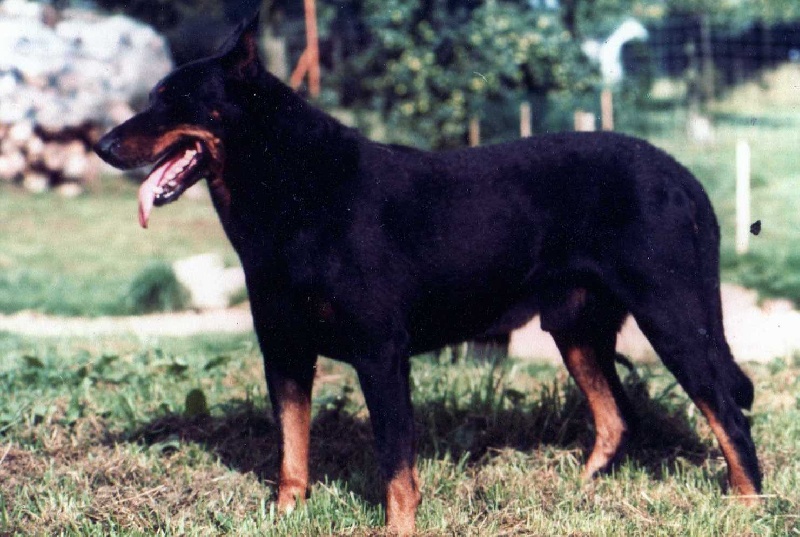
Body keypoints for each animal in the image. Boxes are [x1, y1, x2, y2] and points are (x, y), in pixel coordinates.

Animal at [95, 14, 761, 535]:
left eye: (172, 100)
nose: (102, 145)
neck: (292, 188)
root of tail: (680, 175)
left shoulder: (381, 354)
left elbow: (395, 464)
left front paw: (397, 528)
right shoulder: (284, 351)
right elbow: (291, 453)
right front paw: (285, 518)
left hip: (674, 318)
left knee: (728, 412)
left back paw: (749, 507)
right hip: (575, 327)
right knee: (618, 417)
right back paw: (581, 492)